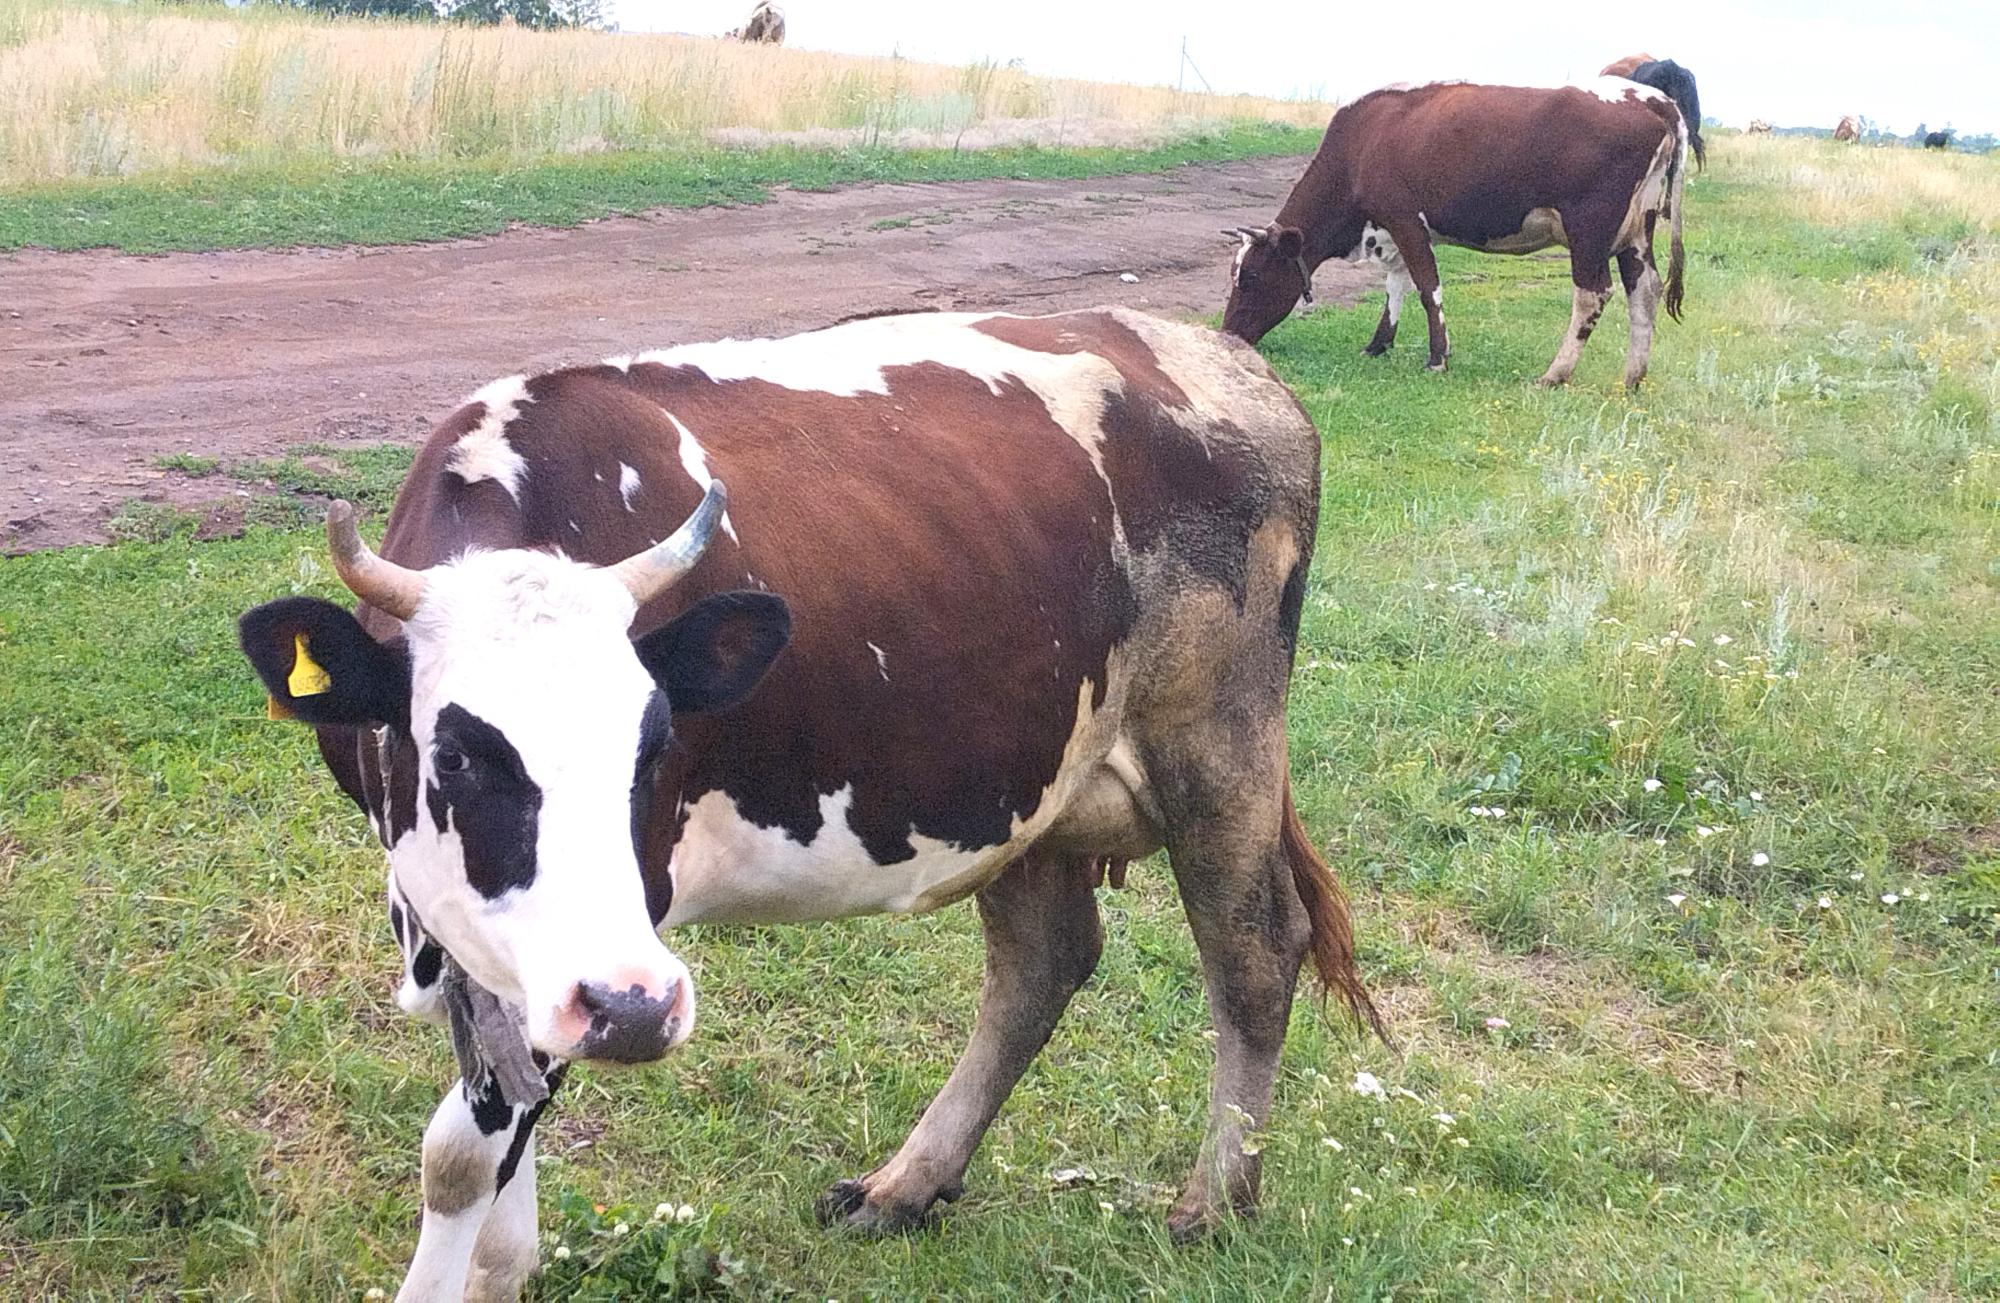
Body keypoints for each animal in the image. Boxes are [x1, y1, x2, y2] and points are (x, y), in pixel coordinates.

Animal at [1216, 78, 1688, 387]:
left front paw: (1438, 358)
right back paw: (1632, 378)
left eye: (1251, 277)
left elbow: (1427, 288)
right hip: (1636, 233)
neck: (1362, 142)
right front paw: (1378, 345)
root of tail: (1652, 97)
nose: (1228, 334)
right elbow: (1396, 287)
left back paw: (1554, 374)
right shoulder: (1393, 228)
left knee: (1594, 293)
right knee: (1644, 290)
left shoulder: (1405, 218)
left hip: (1589, 231)